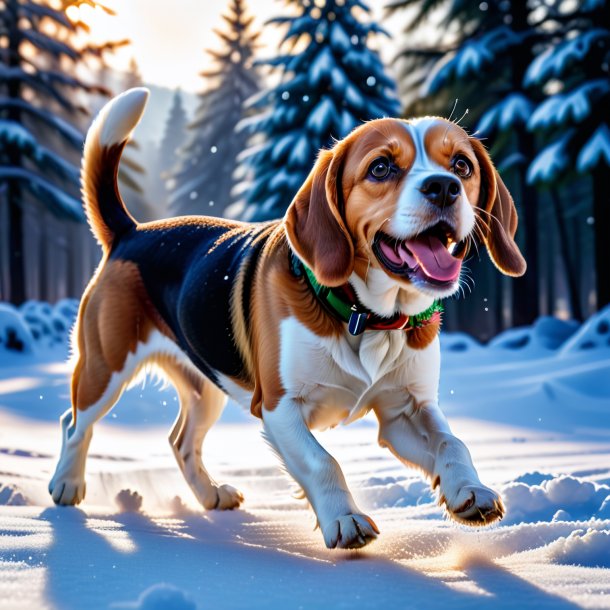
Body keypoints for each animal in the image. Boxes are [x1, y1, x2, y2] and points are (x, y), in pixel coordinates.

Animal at [48, 88, 524, 548]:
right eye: (381, 168)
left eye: (461, 165)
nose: (444, 187)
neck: (365, 315)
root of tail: (130, 232)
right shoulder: (280, 406)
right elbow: (322, 461)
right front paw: (345, 520)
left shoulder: (404, 411)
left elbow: (452, 442)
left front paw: (470, 492)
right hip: (104, 368)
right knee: (74, 423)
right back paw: (66, 485)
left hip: (206, 387)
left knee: (181, 442)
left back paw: (210, 494)